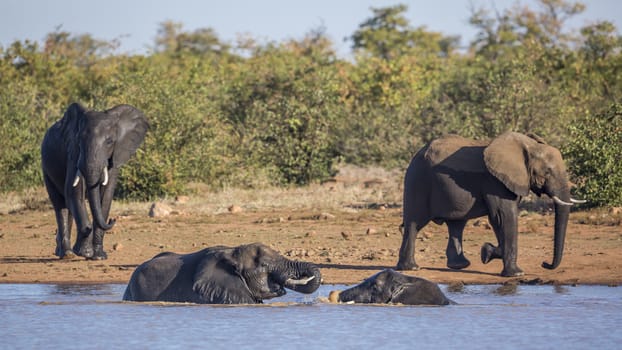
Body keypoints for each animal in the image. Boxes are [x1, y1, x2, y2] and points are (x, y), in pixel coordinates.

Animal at [41, 103, 149, 260]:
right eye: (79, 141)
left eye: (110, 142)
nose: (112, 220)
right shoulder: (73, 153)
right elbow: (74, 192)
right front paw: (85, 253)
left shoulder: (114, 158)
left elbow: (106, 196)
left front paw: (98, 256)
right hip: (45, 166)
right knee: (60, 204)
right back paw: (67, 254)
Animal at [398, 131, 588, 276]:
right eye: (547, 172)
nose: (544, 263)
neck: (528, 146)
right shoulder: (494, 182)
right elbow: (504, 217)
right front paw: (516, 273)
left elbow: (498, 220)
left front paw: (487, 252)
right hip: (418, 181)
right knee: (414, 223)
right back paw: (411, 268)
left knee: (457, 224)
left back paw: (459, 266)